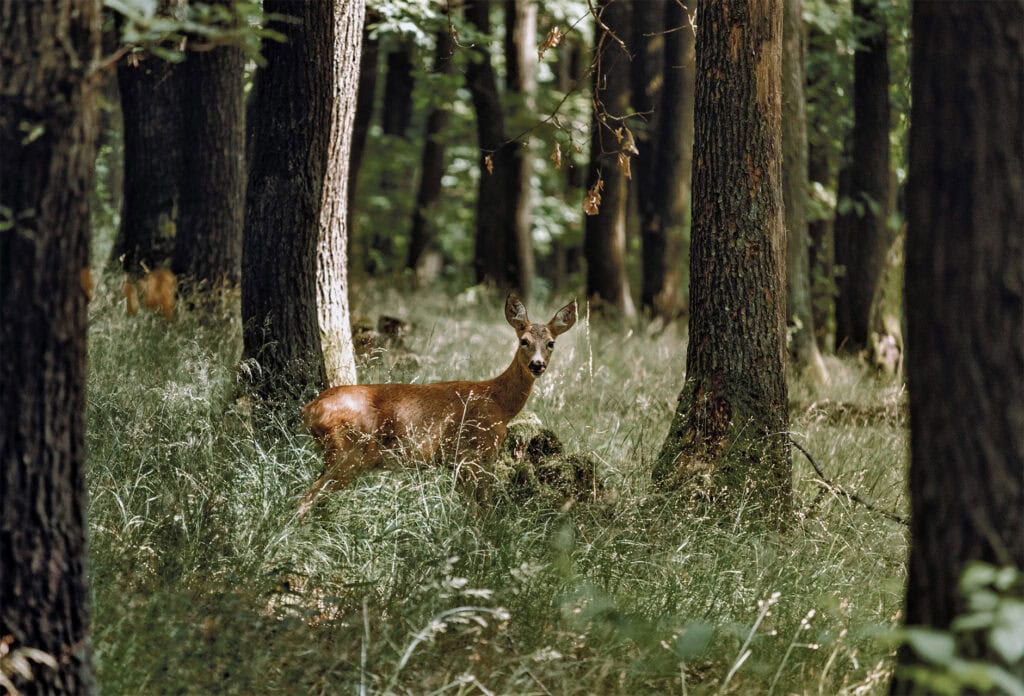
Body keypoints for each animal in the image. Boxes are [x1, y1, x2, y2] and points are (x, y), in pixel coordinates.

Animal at [298, 294, 578, 516]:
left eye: (551, 343)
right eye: (524, 341)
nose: (537, 365)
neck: (499, 403)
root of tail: (310, 409)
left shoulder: (459, 463)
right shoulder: (473, 456)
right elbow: (482, 512)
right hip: (347, 452)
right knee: (307, 497)